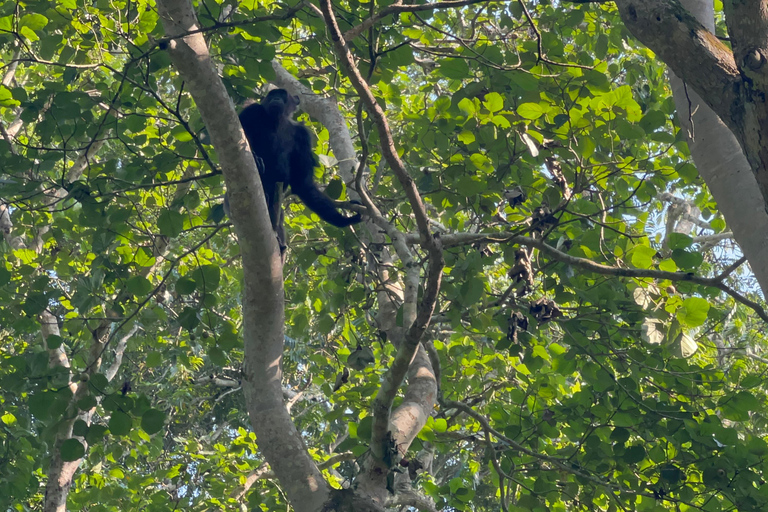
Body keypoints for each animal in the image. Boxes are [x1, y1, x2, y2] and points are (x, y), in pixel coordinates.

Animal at [238, 90, 362, 242]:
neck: (277, 121)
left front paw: (344, 220)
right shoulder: (251, 111)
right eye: (272, 94)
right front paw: (255, 158)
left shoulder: (303, 136)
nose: (276, 98)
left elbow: (303, 183)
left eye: (282, 94)